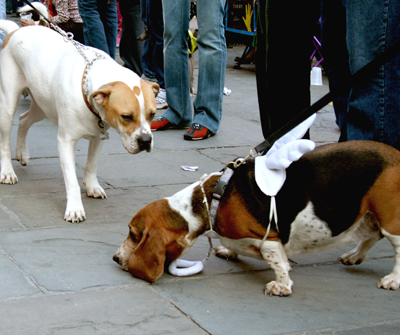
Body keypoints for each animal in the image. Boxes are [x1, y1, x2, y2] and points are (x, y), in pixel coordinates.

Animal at [0, 20, 159, 223]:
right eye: (126, 116)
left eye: (152, 114)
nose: (146, 141)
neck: (88, 89)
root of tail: (16, 31)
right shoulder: (66, 141)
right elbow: (71, 181)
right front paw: (75, 208)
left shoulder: (98, 137)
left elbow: (91, 165)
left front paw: (92, 186)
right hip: (8, 104)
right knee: (6, 139)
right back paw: (7, 171)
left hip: (42, 106)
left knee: (23, 120)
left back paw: (22, 153)